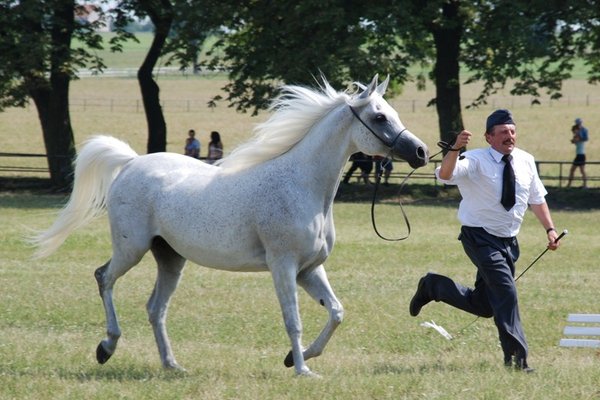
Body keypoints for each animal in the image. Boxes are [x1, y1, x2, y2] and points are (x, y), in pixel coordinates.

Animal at [31, 74, 426, 376]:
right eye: (379, 117)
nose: (420, 152)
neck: (302, 185)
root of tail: (130, 163)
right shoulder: (283, 267)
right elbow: (293, 320)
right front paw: (301, 369)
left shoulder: (310, 269)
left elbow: (337, 312)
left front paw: (296, 359)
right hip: (132, 248)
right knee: (105, 279)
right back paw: (106, 347)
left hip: (170, 258)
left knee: (155, 308)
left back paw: (172, 365)